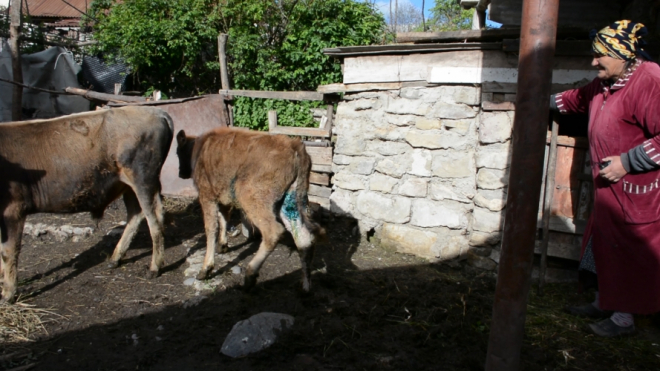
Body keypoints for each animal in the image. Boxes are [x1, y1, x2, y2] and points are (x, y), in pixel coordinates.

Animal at [0, 105, 174, 302]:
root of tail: (157, 112)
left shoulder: (13, 210)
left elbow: (8, 251)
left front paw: (8, 293)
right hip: (128, 184)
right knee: (136, 214)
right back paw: (115, 259)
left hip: (143, 180)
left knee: (155, 218)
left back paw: (154, 267)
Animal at [174, 129, 320, 292]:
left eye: (178, 152)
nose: (181, 173)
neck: (199, 149)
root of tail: (294, 146)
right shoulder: (224, 199)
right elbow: (224, 218)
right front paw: (223, 246)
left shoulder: (207, 196)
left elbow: (211, 228)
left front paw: (206, 269)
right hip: (290, 201)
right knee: (303, 236)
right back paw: (306, 287)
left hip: (251, 198)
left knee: (273, 232)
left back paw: (250, 275)